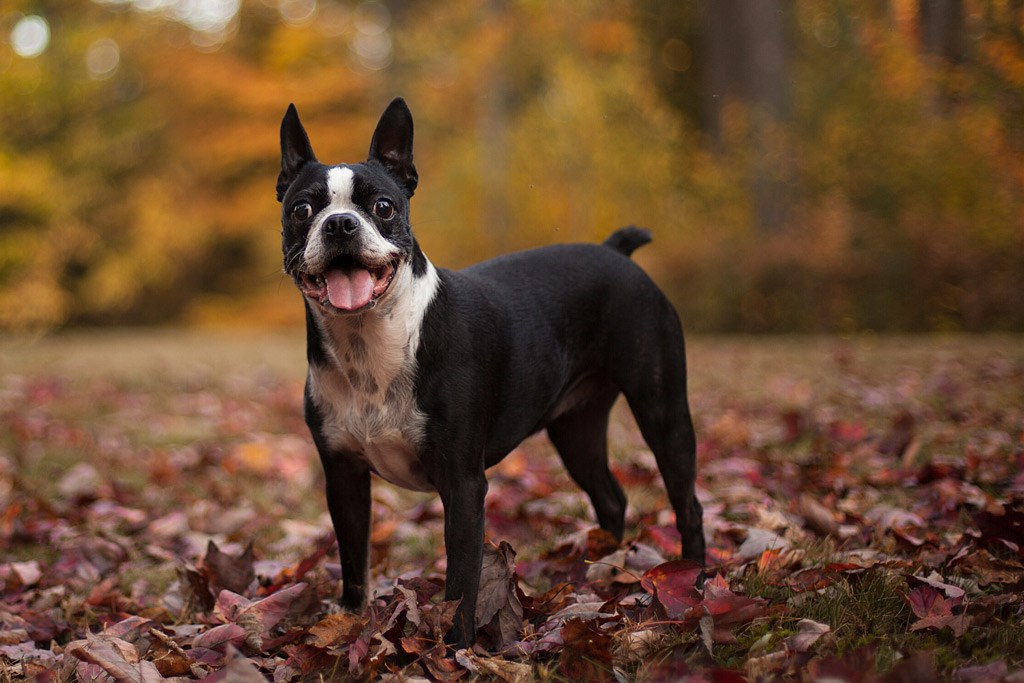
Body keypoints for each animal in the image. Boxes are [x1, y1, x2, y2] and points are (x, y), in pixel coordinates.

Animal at [274, 98, 704, 651]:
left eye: (383, 207)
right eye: (302, 210)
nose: (341, 224)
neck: (369, 345)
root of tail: (614, 251)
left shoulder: (462, 483)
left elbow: (462, 581)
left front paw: (457, 650)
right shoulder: (343, 477)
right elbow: (354, 564)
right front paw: (348, 626)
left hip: (661, 409)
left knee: (686, 500)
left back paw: (693, 579)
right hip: (576, 428)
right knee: (610, 496)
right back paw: (597, 574)